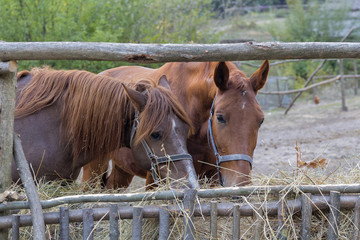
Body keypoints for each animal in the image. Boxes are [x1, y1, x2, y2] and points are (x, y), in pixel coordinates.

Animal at [97, 60, 268, 188]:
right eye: (220, 117)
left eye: (260, 120)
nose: (241, 183)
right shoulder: (155, 179)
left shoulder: (213, 177)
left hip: (122, 169)